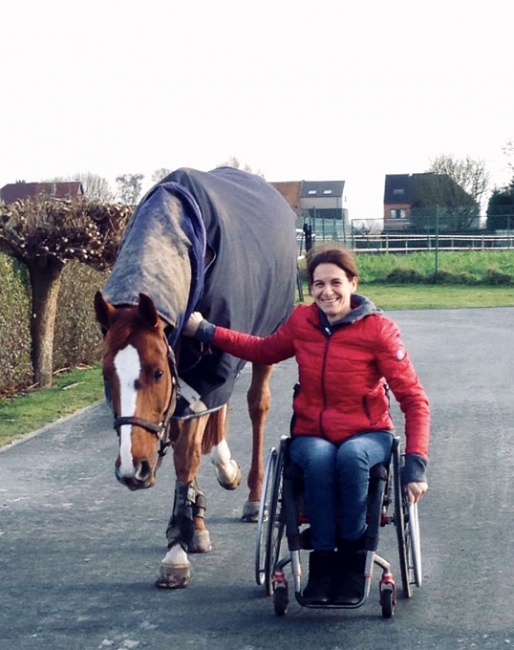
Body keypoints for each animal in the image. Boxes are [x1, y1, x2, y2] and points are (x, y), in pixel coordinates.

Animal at [93, 167, 296, 588]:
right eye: (106, 374)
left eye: (155, 372)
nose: (132, 469)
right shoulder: (182, 379)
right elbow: (188, 441)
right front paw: (191, 526)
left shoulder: (202, 372)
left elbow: (186, 455)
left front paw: (176, 551)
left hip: (264, 342)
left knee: (256, 406)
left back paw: (251, 493)